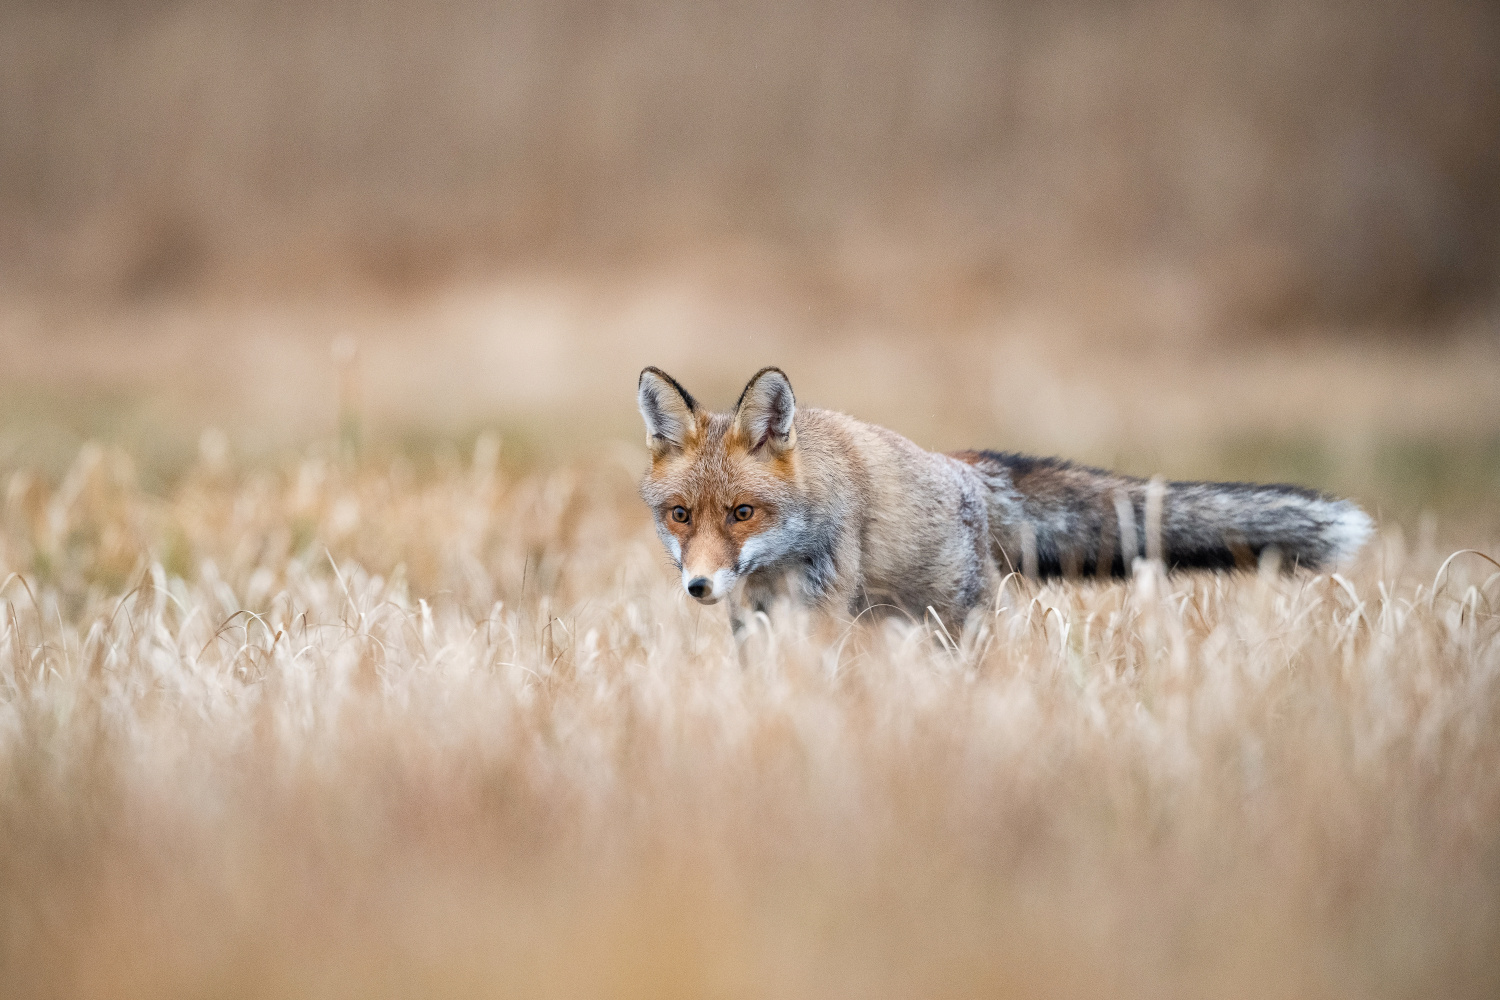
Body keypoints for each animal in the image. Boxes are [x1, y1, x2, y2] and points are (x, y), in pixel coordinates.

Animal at [633, 367, 1374, 641]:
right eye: (680, 515)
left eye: (742, 513)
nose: (699, 585)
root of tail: (964, 466)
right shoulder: (752, 616)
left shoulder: (820, 606)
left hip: (946, 624)